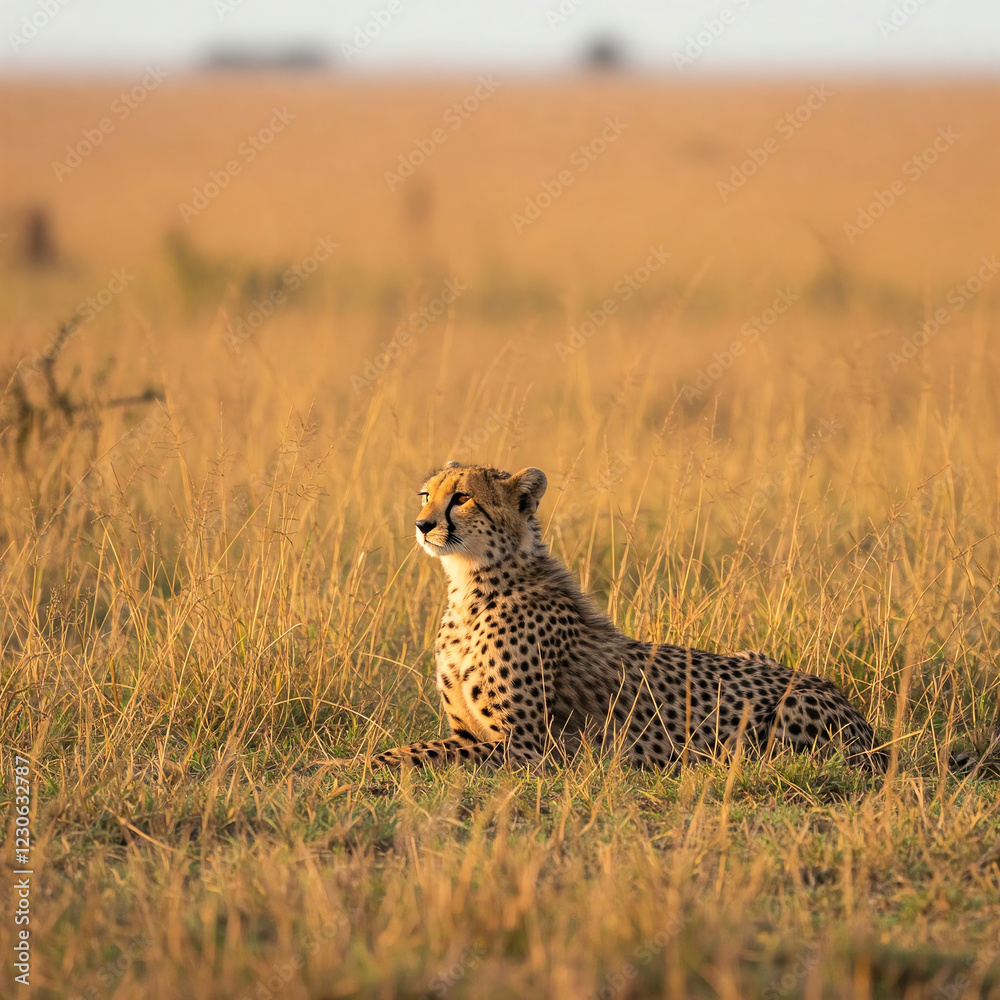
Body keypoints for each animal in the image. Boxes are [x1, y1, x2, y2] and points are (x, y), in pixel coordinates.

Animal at [368, 460, 890, 773]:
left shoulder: (530, 749)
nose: (422, 525)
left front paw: (353, 767)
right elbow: (424, 746)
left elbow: (418, 751)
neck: (474, 585)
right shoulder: (474, 733)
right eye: (425, 495)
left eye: (462, 498)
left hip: (785, 714)